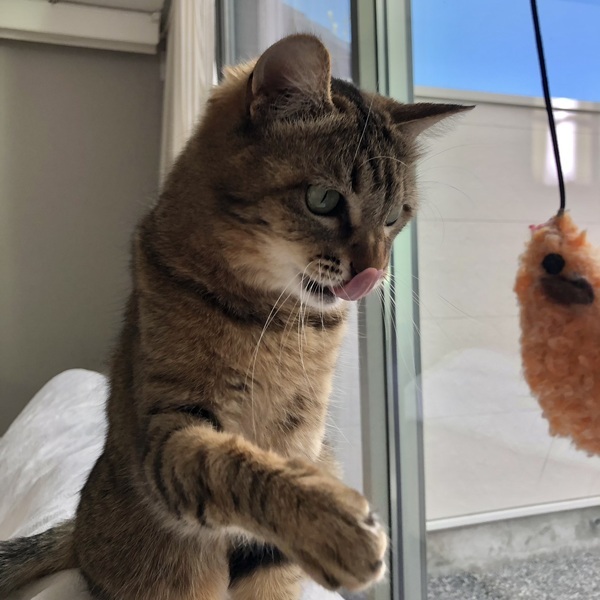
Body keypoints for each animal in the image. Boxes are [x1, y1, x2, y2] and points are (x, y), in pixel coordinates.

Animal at [0, 34, 469, 600]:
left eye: (396, 216)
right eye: (323, 199)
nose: (374, 272)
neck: (277, 319)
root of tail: (77, 528)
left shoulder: (302, 438)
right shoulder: (172, 428)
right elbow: (237, 466)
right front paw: (333, 525)